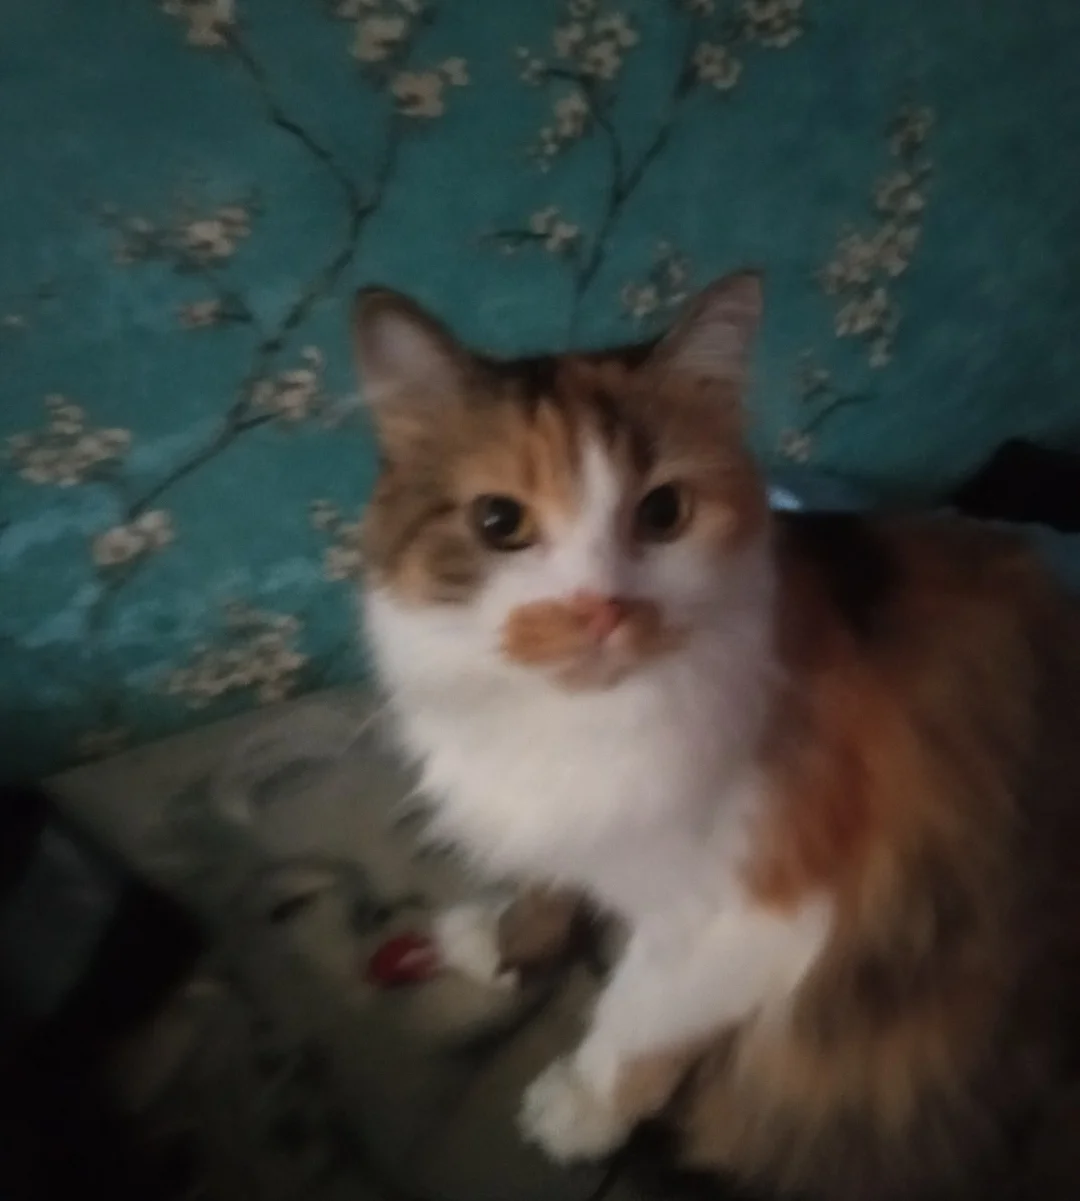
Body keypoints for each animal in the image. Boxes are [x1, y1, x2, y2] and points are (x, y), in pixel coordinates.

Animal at [350, 271, 1080, 1200]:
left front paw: (582, 1107)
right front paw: (504, 943)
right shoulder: (570, 826)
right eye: (498, 522)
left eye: (663, 512)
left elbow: (638, 1017)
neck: (574, 725)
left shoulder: (762, 917)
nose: (600, 609)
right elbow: (553, 884)